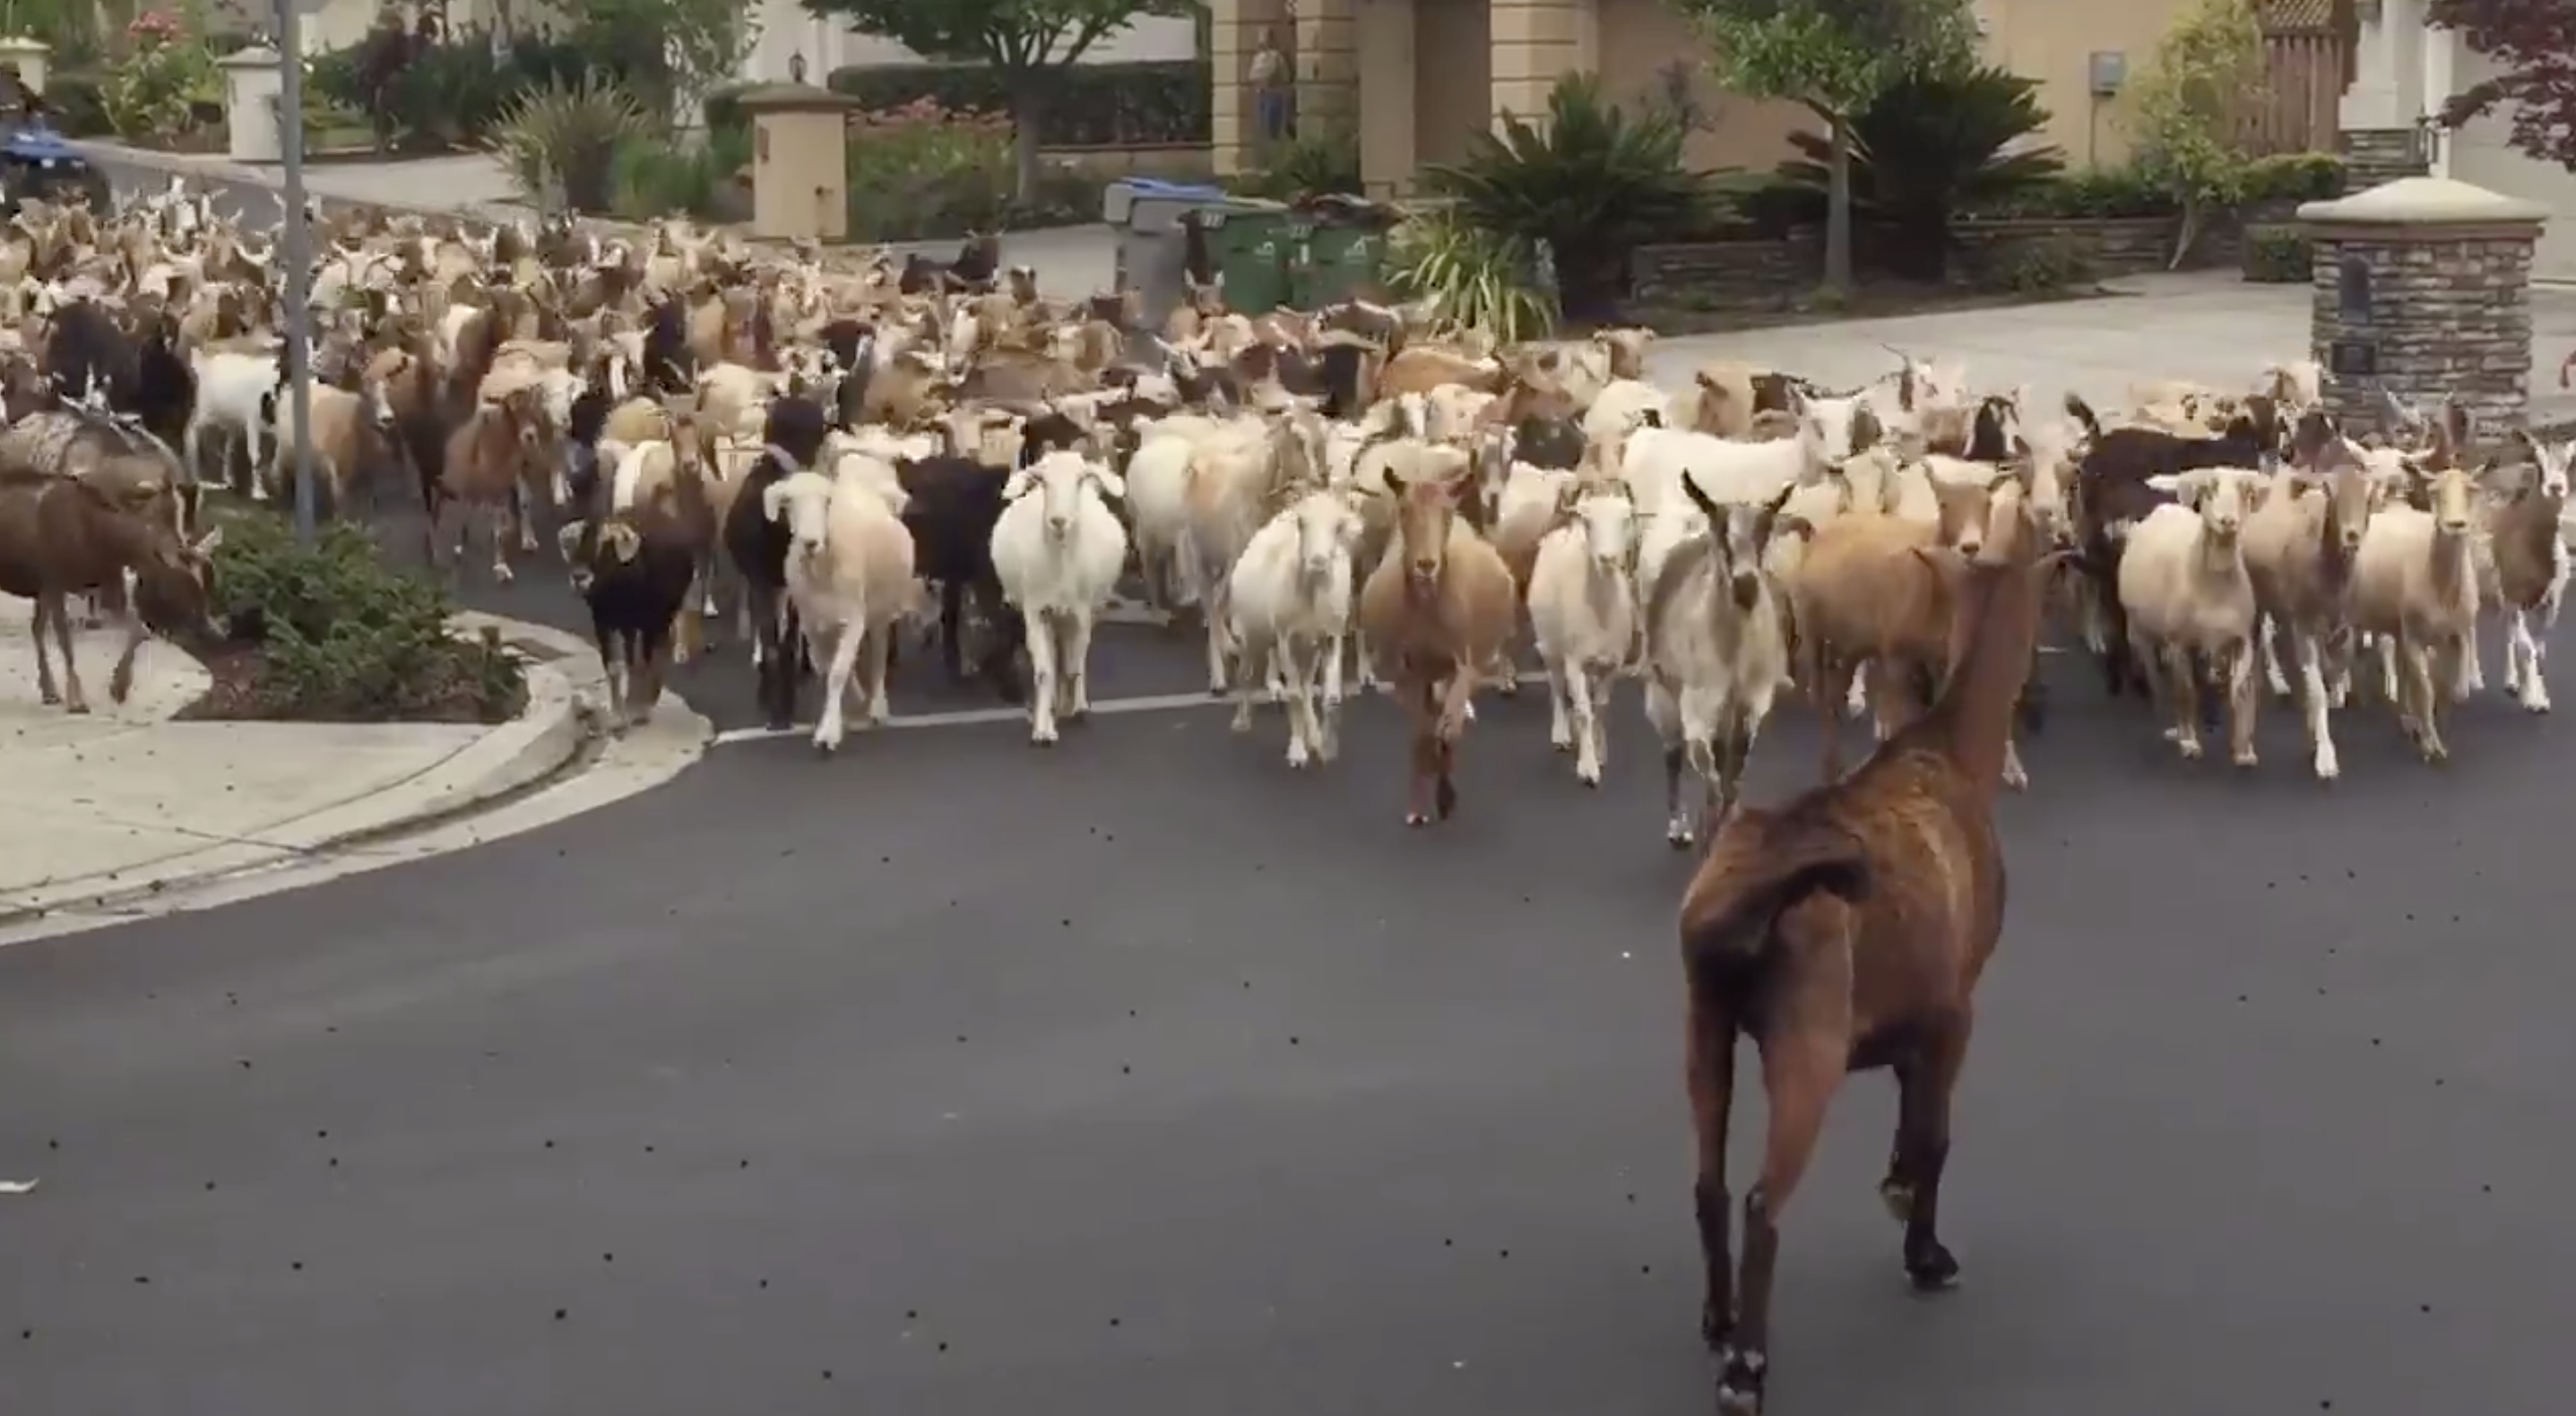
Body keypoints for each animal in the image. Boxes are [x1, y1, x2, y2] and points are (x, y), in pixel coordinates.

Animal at [1679, 505, 2061, 1411]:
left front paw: (1897, 1186)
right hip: (1806, 1047)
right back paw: (1746, 1366)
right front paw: (1922, 1243)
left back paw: (1718, 1320)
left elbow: (1912, 1109)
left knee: (1710, 1182)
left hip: (1704, 1025)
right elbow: (1937, 1133)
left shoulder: (1908, 1009)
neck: (1945, 750)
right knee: (1761, 1201)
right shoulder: (1956, 1010)